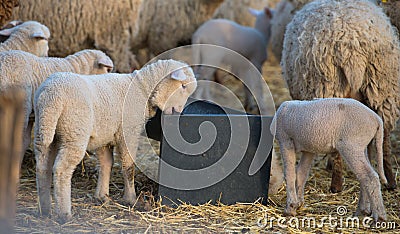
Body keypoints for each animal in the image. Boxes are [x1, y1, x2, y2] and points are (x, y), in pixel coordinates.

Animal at [33, 59, 197, 223]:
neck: (142, 88)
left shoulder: (105, 136)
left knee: (42, 167)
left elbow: (106, 164)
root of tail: (50, 96)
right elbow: (128, 167)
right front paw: (131, 198)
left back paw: (45, 209)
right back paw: (64, 213)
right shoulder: (128, 132)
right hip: (74, 131)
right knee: (61, 169)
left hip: (44, 131)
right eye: (183, 86)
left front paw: (102, 196)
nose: (179, 111)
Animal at [282, 0, 400, 192]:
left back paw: (336, 184)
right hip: (383, 87)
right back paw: (390, 180)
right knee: (385, 134)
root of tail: (351, 46)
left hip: (329, 88)